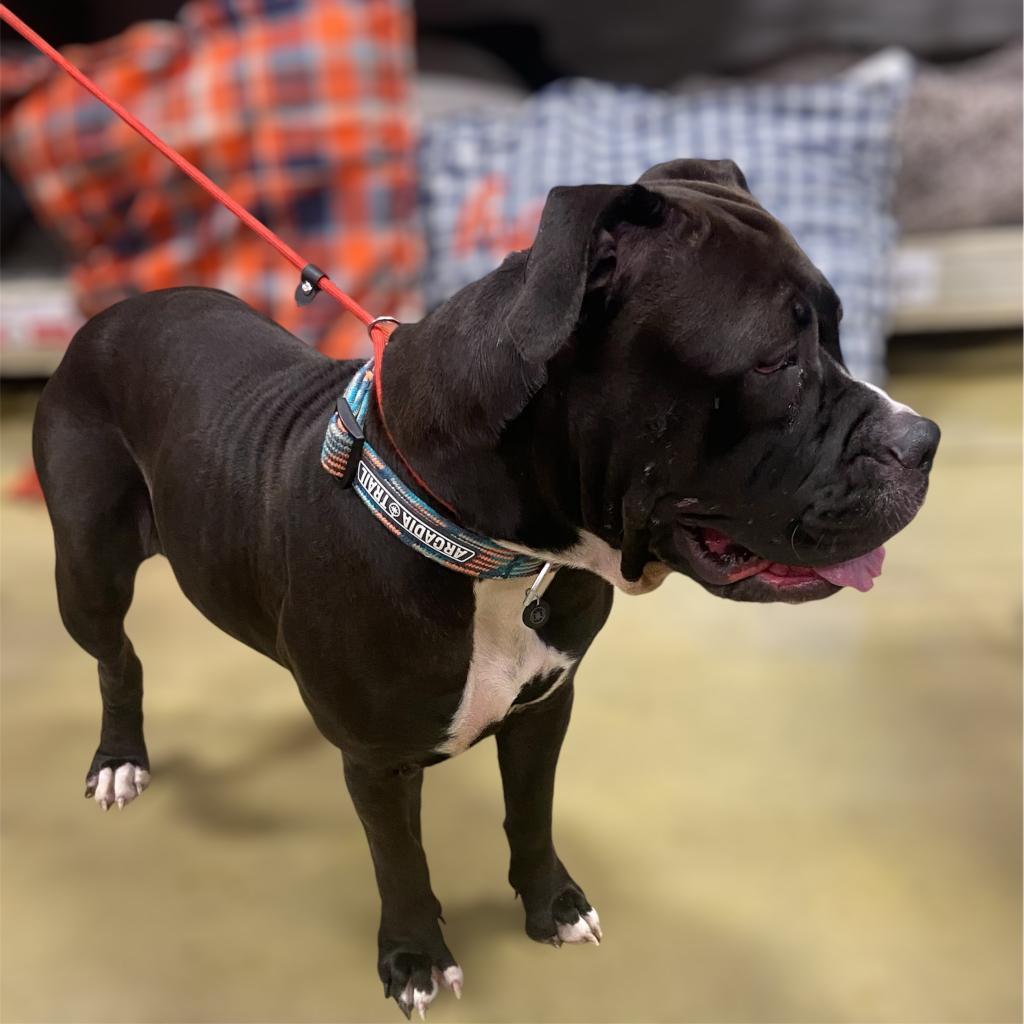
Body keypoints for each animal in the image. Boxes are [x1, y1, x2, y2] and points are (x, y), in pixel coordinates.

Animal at [36, 159, 937, 1015]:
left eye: (838, 333)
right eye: (775, 361)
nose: (923, 440)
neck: (493, 555)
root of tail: (113, 314)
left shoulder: (543, 709)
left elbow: (531, 815)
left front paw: (552, 907)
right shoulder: (378, 761)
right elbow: (400, 861)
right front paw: (413, 958)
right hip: (87, 572)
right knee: (118, 659)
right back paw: (119, 759)